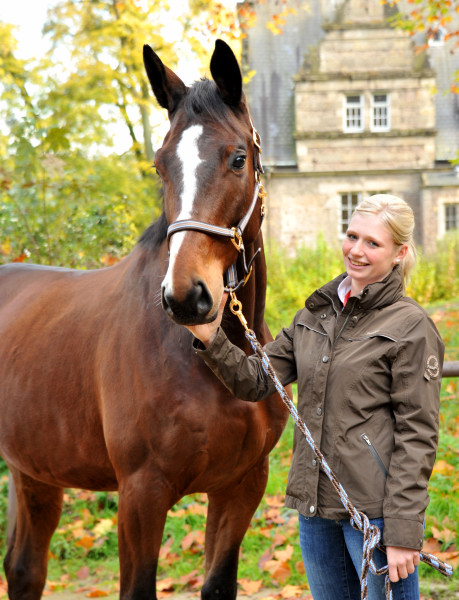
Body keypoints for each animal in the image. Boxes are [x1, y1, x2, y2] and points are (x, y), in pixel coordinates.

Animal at [0, 39, 288, 596]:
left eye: (238, 158)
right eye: (160, 165)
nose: (185, 297)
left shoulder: (241, 486)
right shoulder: (141, 495)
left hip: (34, 471)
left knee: (24, 569)